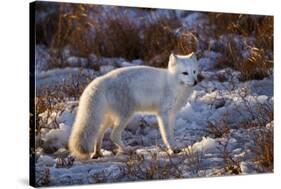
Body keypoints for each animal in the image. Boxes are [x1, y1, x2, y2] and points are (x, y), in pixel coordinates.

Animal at [68, 52, 198, 159]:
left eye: (194, 71)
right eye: (185, 73)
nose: (196, 81)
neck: (172, 83)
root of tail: (101, 80)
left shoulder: (172, 115)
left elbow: (171, 133)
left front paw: (174, 147)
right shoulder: (163, 114)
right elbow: (167, 134)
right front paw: (173, 150)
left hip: (110, 118)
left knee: (99, 133)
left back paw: (97, 153)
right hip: (125, 115)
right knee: (113, 136)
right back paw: (127, 151)